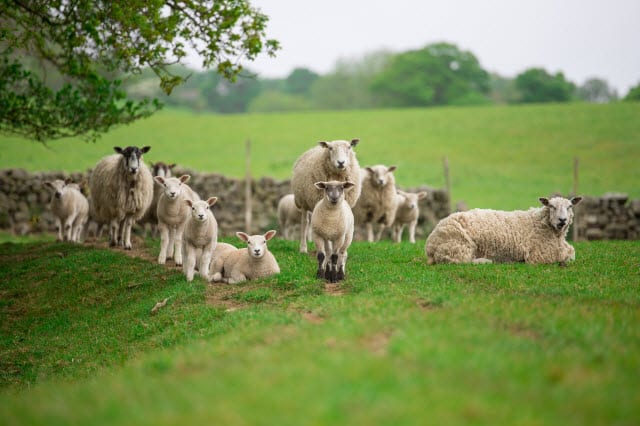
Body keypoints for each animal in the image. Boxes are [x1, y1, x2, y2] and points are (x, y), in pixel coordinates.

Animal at [422, 198, 584, 264]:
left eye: (570, 206)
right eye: (551, 206)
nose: (562, 220)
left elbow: (572, 253)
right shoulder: (539, 256)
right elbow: (566, 257)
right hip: (460, 246)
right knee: (458, 261)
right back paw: (485, 261)